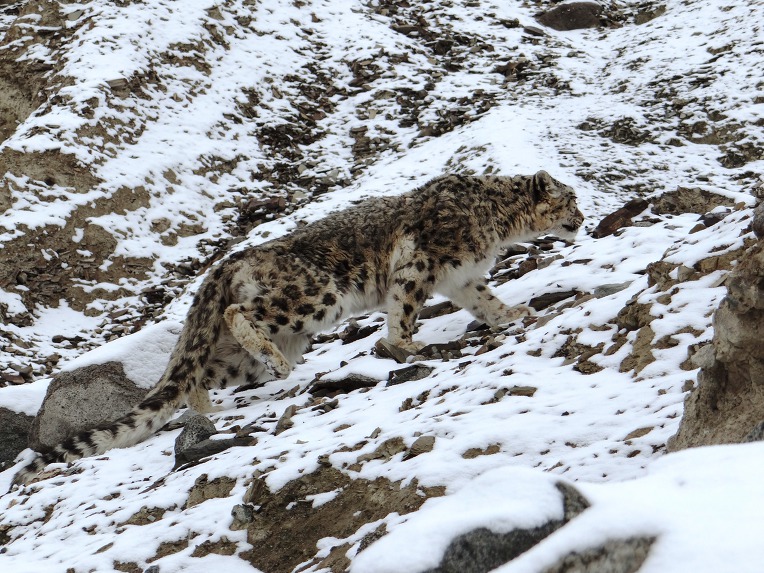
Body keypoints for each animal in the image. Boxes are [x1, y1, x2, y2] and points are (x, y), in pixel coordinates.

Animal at [11, 170, 583, 486]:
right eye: (570, 198)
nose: (582, 216)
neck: (497, 225)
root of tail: (226, 262)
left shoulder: (462, 279)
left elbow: (486, 301)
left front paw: (515, 314)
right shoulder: (419, 265)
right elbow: (403, 307)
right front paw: (404, 343)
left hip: (241, 353)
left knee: (196, 375)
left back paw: (213, 407)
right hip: (313, 298)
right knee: (239, 317)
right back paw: (276, 364)